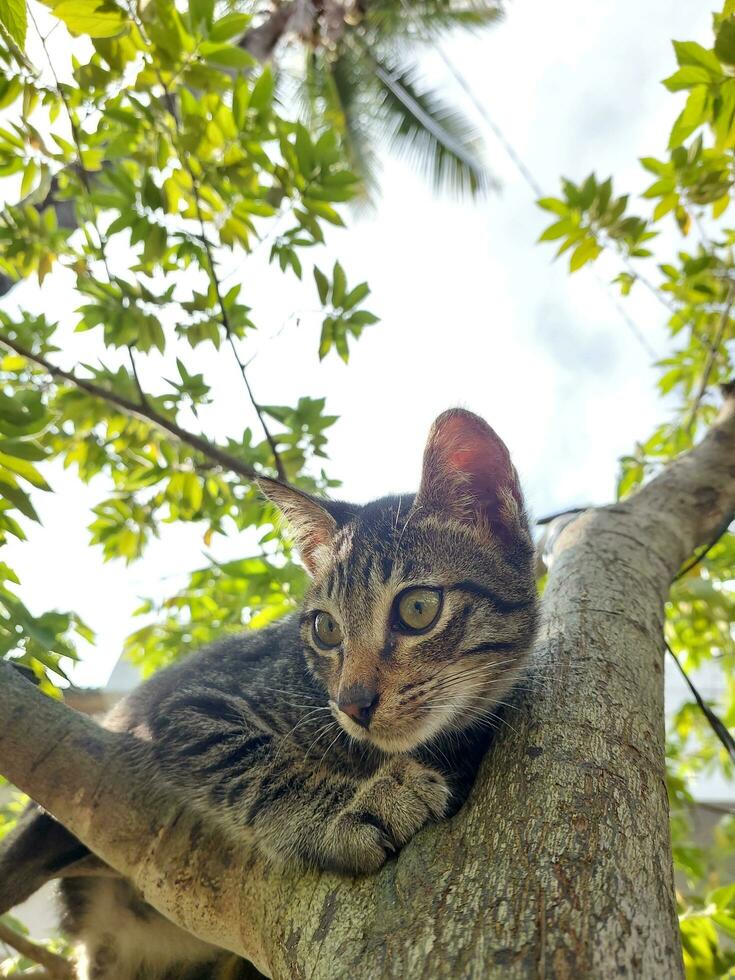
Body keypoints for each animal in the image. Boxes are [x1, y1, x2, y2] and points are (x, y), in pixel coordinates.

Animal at [1, 408, 540, 980]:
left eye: (418, 609)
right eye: (326, 629)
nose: (352, 704)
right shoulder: (185, 709)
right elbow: (257, 762)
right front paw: (354, 809)